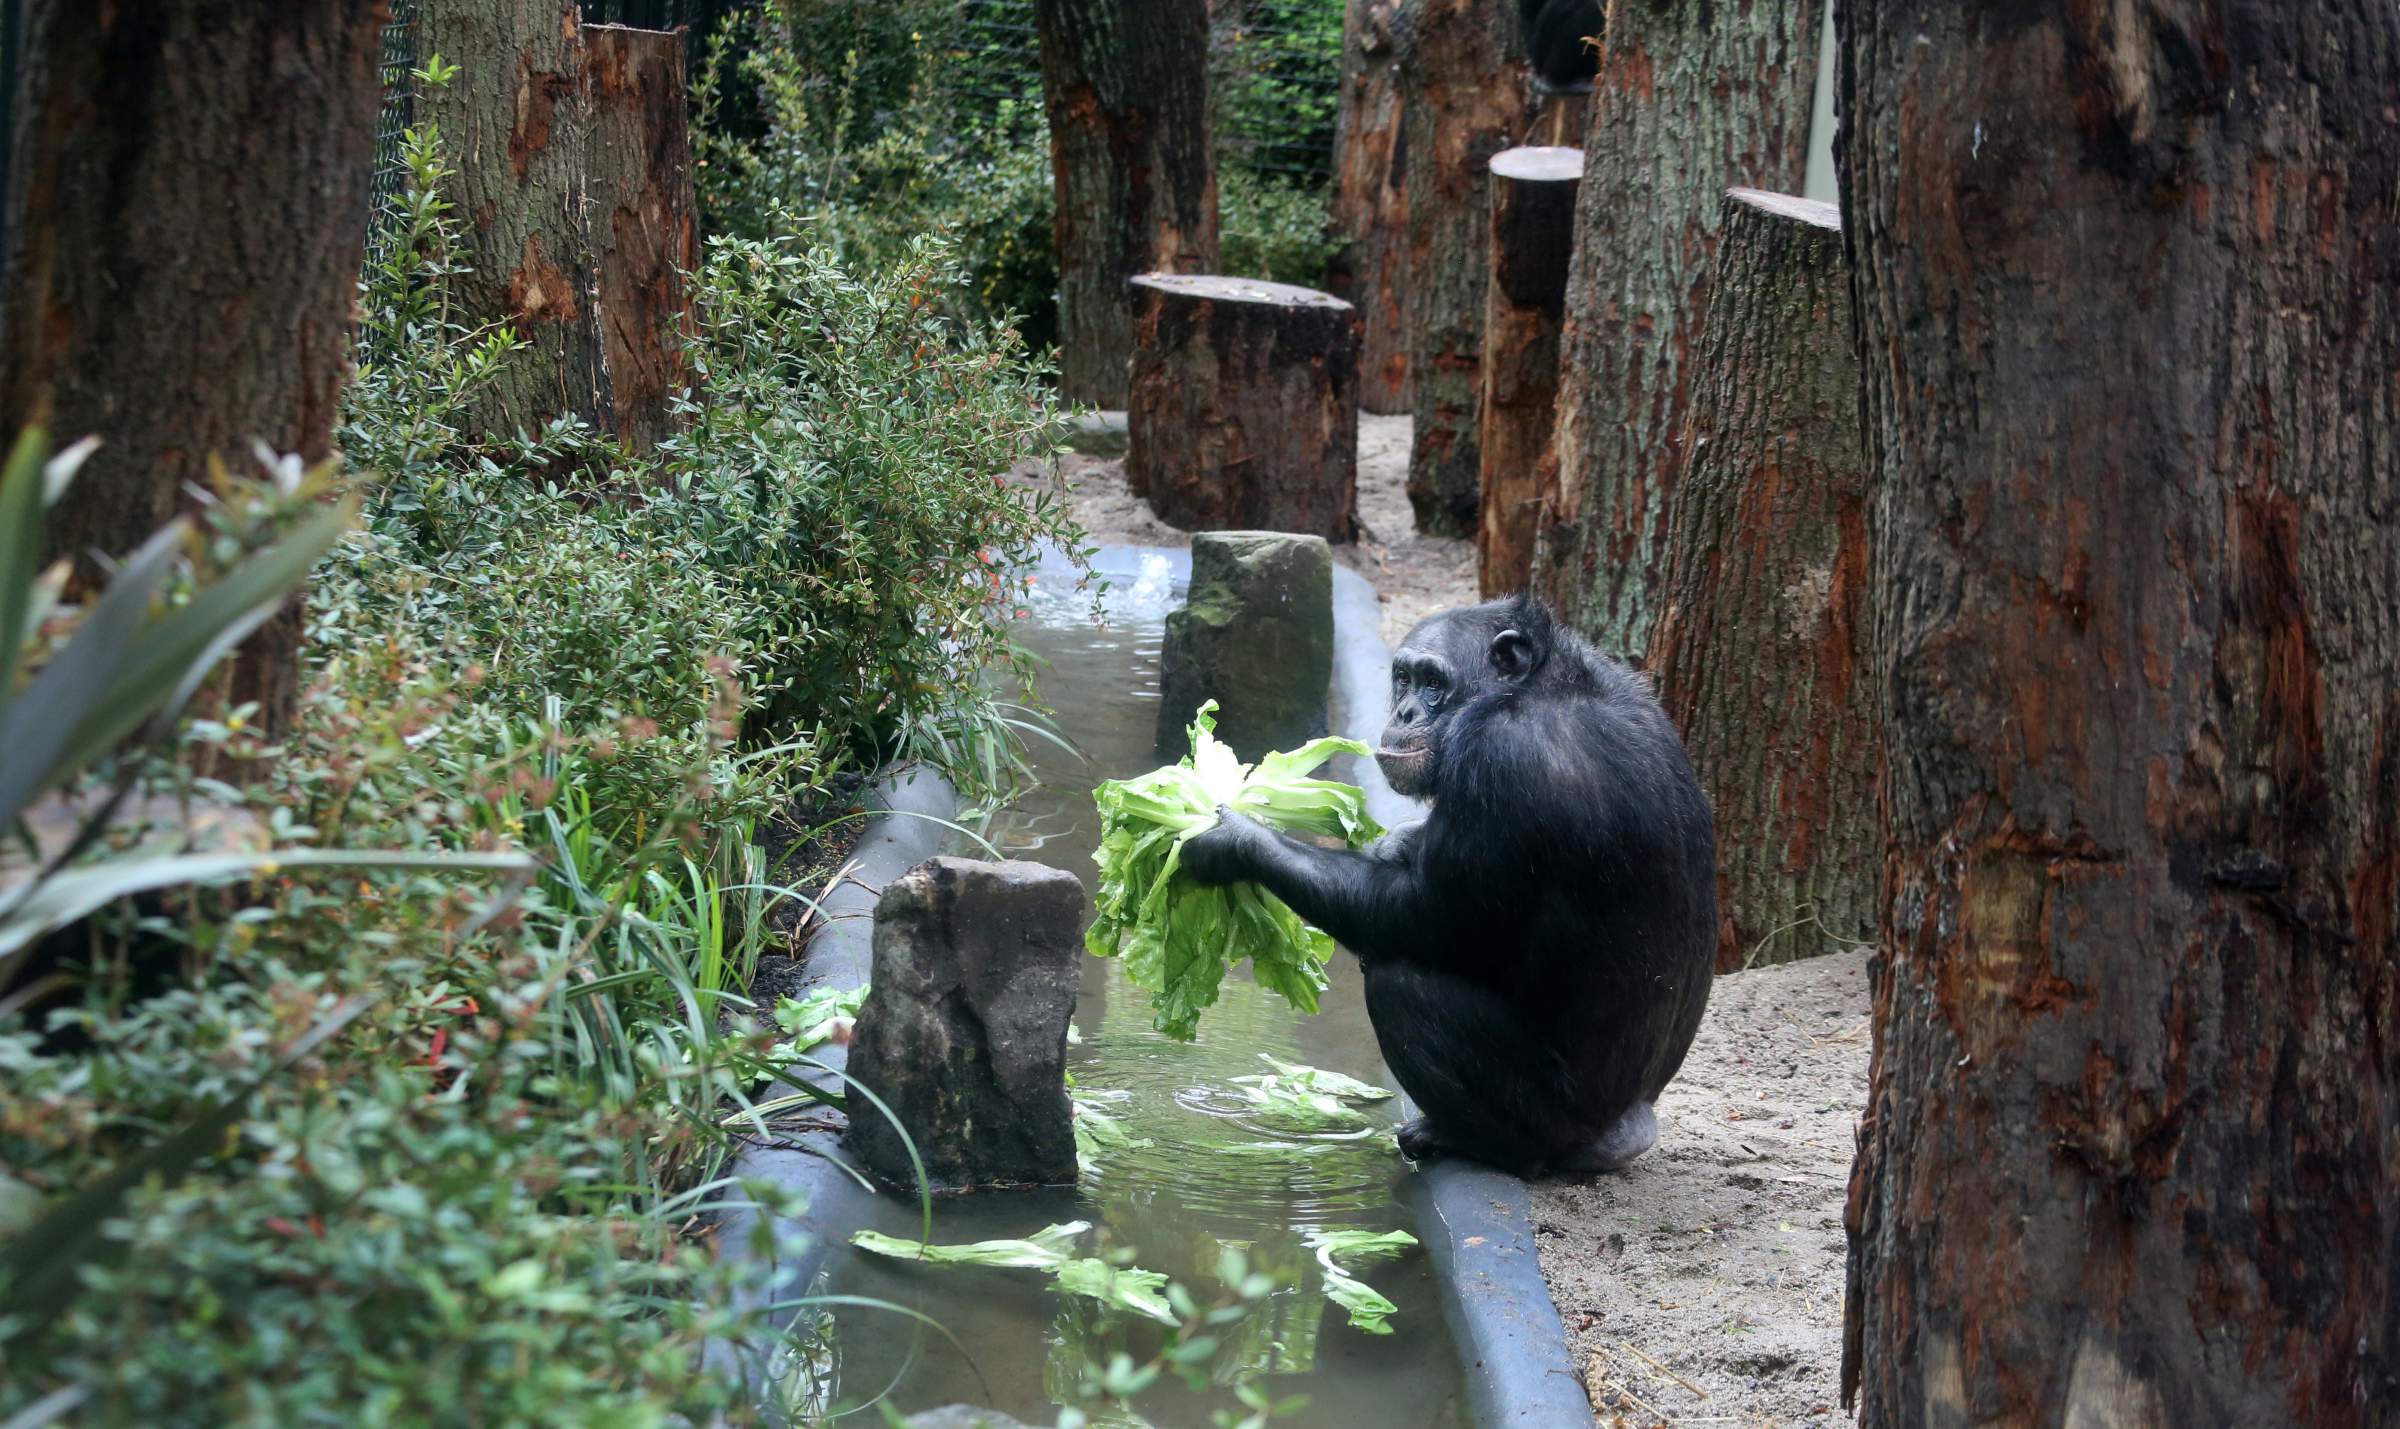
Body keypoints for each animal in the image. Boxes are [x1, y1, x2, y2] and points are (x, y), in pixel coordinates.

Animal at [1176, 590, 1708, 1172]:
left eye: (1433, 682)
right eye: (1403, 678)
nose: (1404, 711)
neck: (1535, 687)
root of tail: (1628, 1129)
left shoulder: (1497, 758)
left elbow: (1425, 918)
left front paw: (1232, 841)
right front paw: (1398, 841)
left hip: (1555, 1118)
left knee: (1400, 985)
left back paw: (1472, 1142)